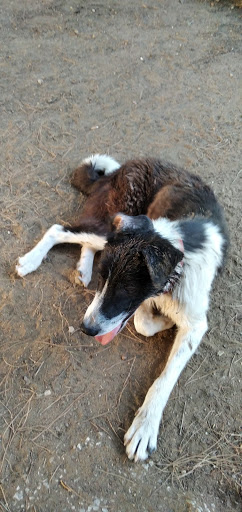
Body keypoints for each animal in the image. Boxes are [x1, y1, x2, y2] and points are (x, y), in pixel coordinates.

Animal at [16, 154, 229, 462]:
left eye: (126, 289)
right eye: (104, 278)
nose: (86, 329)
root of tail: (120, 168)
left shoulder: (195, 321)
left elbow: (164, 375)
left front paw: (145, 426)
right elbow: (142, 321)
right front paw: (162, 318)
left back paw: (82, 269)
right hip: (112, 223)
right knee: (60, 229)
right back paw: (31, 261)